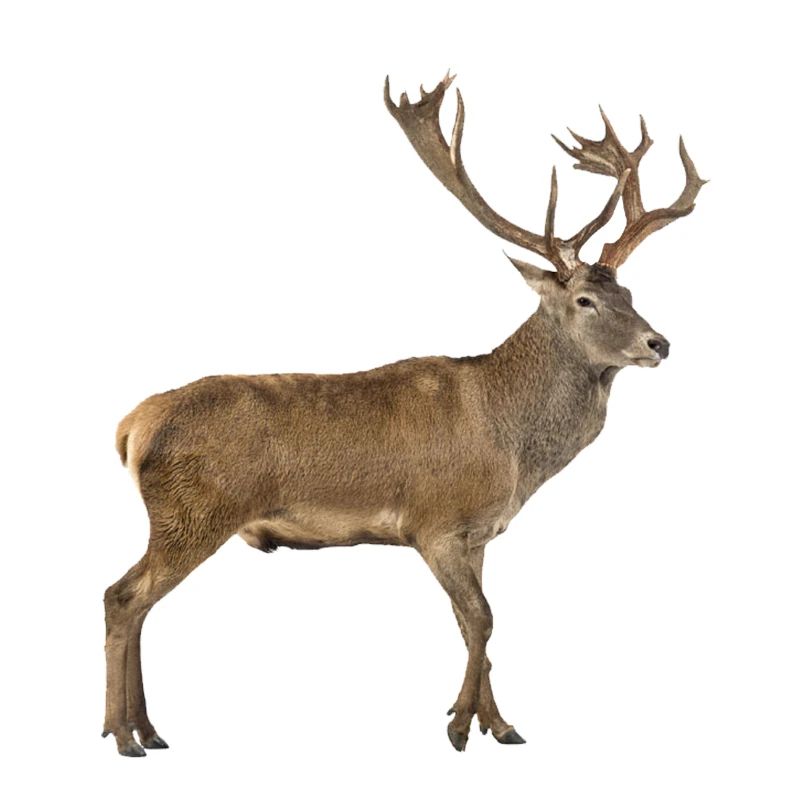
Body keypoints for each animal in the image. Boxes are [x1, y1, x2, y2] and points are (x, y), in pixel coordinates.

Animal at [103, 71, 705, 756]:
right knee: (122, 596)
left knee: (137, 602)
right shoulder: (434, 521)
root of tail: (131, 426)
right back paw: (123, 734)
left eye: (628, 292)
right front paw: (462, 726)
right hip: (193, 512)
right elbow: (482, 619)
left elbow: (477, 623)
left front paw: (499, 724)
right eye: (585, 300)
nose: (659, 343)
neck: (514, 449)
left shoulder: (479, 532)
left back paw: (147, 729)